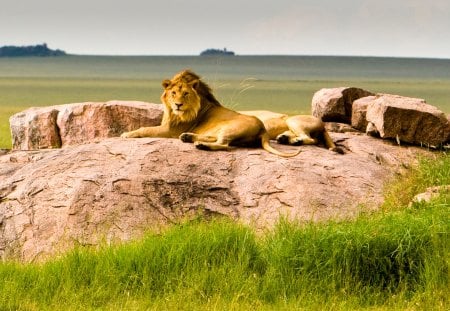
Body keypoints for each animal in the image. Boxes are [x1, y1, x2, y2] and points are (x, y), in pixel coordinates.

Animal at [121, 71, 300, 158]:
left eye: (185, 94)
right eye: (173, 93)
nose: (178, 104)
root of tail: (263, 129)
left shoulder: (170, 130)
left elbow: (145, 128)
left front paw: (126, 134)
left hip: (230, 127)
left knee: (224, 144)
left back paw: (200, 145)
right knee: (216, 139)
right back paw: (188, 137)